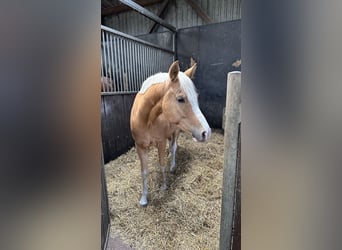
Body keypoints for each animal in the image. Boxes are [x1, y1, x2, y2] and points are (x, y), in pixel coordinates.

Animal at [131, 60, 211, 205]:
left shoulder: (161, 143)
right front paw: (144, 198)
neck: (147, 119)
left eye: (196, 97)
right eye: (180, 99)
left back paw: (173, 166)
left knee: (173, 148)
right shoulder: (140, 146)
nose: (206, 132)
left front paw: (164, 187)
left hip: (176, 132)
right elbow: (144, 172)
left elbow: (162, 165)